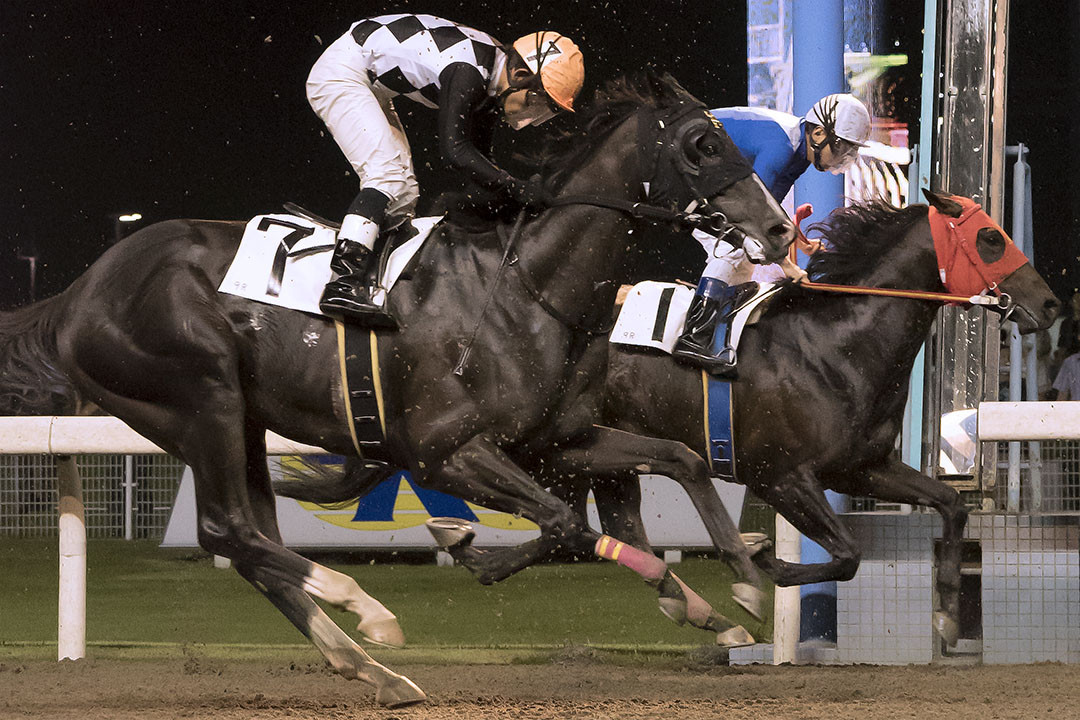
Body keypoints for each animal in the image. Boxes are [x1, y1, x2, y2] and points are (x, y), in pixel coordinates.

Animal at [0, 73, 796, 706]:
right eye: (702, 144)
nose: (779, 228)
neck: (526, 286)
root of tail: (75, 295)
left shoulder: (555, 439)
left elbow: (676, 462)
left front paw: (741, 585)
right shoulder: (445, 451)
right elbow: (564, 524)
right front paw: (469, 545)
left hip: (237, 421)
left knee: (256, 540)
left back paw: (370, 667)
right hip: (202, 398)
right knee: (228, 530)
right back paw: (364, 610)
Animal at [547, 190, 1059, 646]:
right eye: (991, 237)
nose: (1051, 304)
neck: (835, 345)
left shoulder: (860, 468)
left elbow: (951, 505)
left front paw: (949, 613)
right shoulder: (779, 476)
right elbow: (848, 554)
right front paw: (759, 558)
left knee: (624, 526)